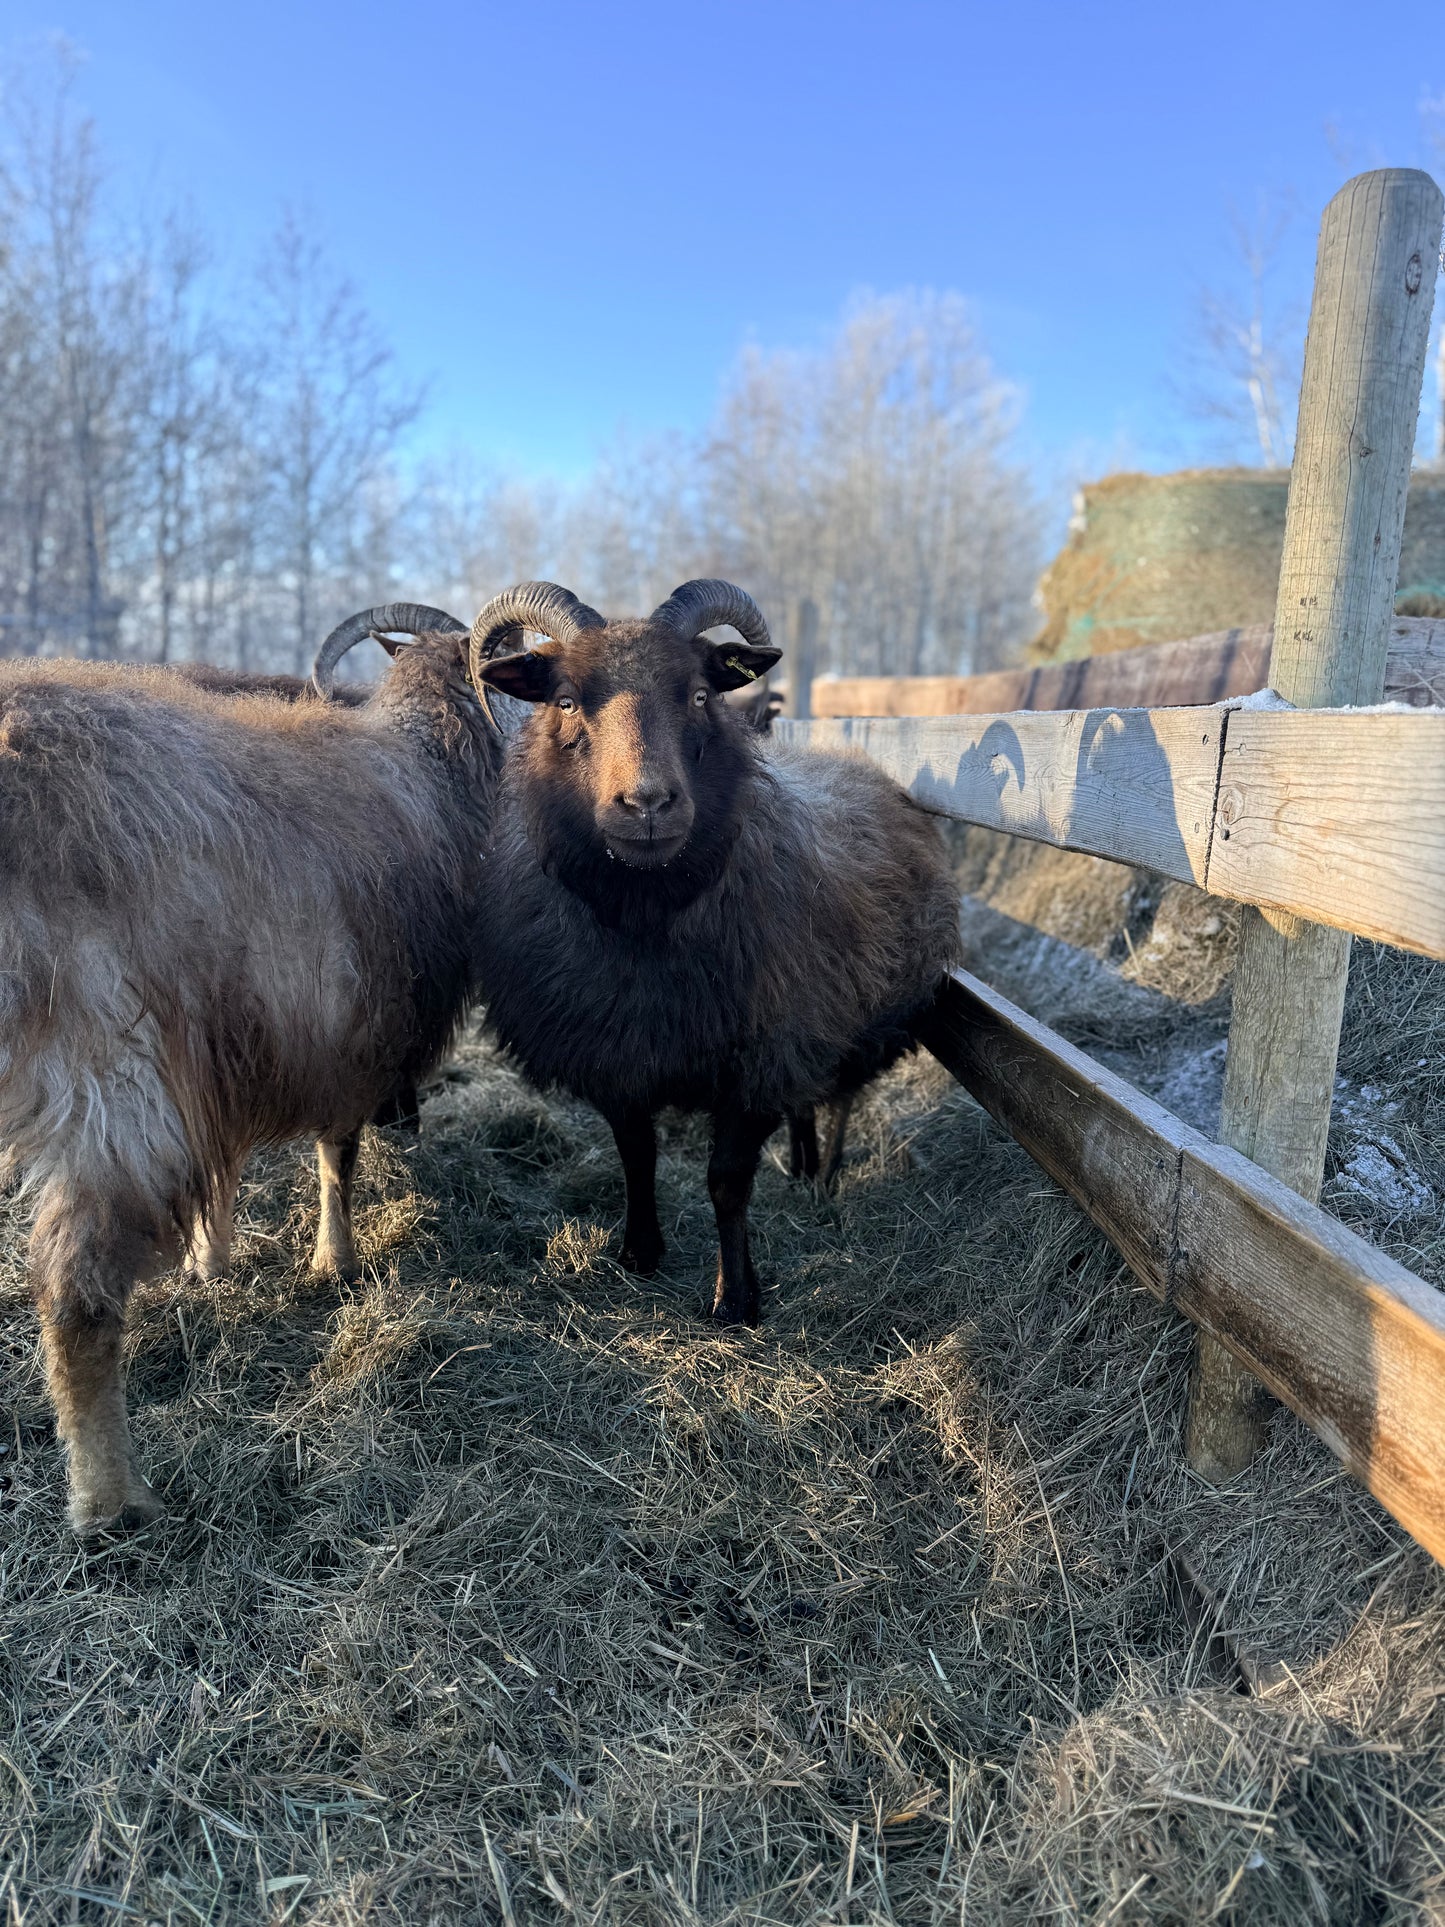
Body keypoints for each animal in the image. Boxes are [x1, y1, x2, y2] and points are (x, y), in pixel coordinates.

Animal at [0, 603, 499, 1531]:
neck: (426, 766)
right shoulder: (350, 1030)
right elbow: (337, 1155)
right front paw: (336, 1263)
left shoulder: (225, 1044)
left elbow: (230, 1167)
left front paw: (210, 1262)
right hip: (112, 1080)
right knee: (77, 1290)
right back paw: (111, 1502)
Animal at [467, 579, 962, 1325]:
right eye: (565, 700)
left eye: (700, 695)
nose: (647, 803)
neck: (647, 918)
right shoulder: (617, 1048)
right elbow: (636, 1155)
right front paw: (640, 1250)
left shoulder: (759, 1054)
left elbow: (726, 1183)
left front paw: (736, 1298)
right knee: (805, 1100)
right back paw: (802, 1167)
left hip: (855, 1014)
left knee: (839, 1094)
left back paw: (823, 1175)